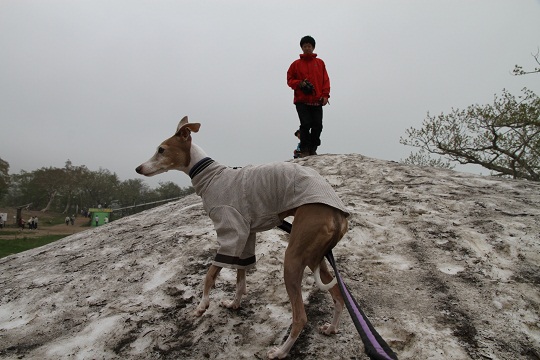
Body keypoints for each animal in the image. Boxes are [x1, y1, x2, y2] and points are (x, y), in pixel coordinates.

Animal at [135, 116, 350, 358]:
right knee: (338, 296)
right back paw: (331, 328)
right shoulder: (246, 236)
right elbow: (240, 278)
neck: (211, 176)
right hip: (317, 258)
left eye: (161, 150)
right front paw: (234, 304)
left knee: (300, 318)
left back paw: (280, 352)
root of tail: (338, 215)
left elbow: (210, 275)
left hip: (294, 258)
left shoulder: (231, 233)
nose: (138, 168)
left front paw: (202, 306)